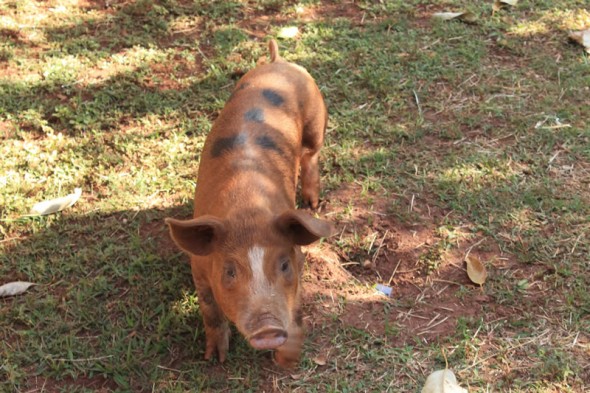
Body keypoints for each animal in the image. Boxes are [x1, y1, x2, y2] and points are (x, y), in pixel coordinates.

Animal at [164, 39, 336, 368]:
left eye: (283, 264)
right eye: (230, 271)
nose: (268, 329)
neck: (248, 208)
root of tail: (279, 62)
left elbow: (294, 310)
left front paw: (288, 361)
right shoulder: (199, 270)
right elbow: (211, 313)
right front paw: (215, 359)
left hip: (316, 121)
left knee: (311, 156)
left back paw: (312, 205)